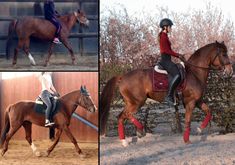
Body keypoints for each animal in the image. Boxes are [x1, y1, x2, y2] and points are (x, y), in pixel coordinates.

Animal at [100, 42, 233, 146]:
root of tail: (122, 77)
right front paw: (187, 140)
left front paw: (200, 128)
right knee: (126, 115)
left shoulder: (198, 101)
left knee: (121, 116)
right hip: (137, 102)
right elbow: (188, 121)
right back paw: (139, 130)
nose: (230, 70)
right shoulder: (190, 103)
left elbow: (209, 112)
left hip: (131, 102)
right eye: (223, 54)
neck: (194, 73)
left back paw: (126, 140)